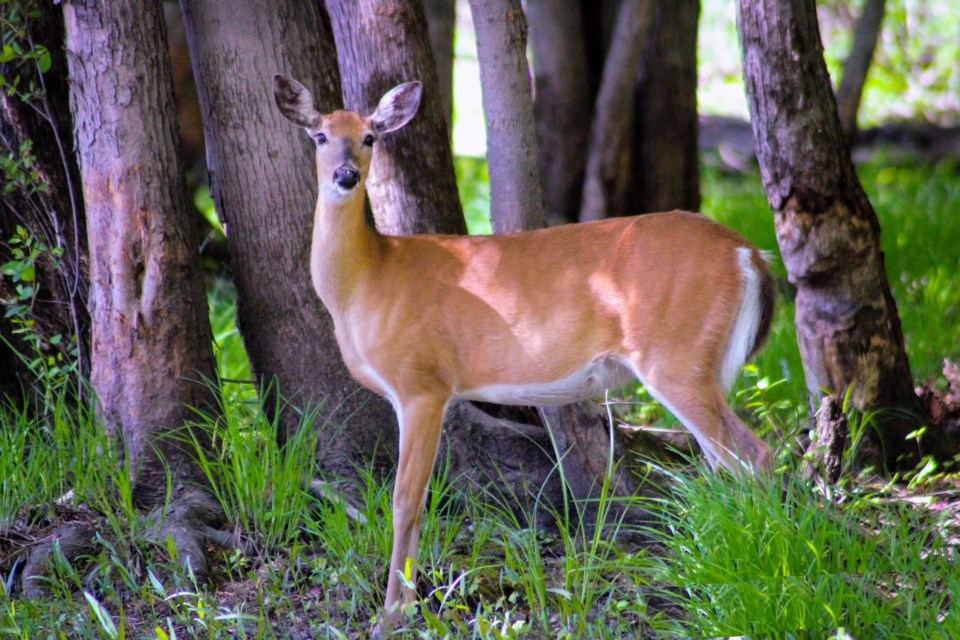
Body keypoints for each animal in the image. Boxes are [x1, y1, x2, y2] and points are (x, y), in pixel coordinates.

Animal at [272, 75, 780, 636]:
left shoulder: (422, 381)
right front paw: (402, 607)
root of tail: (749, 253)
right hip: (704, 364)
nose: (345, 175)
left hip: (676, 356)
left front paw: (391, 616)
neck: (367, 281)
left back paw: (761, 577)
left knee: (754, 455)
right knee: (722, 463)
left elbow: (407, 498)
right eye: (320, 135)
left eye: (369, 137)